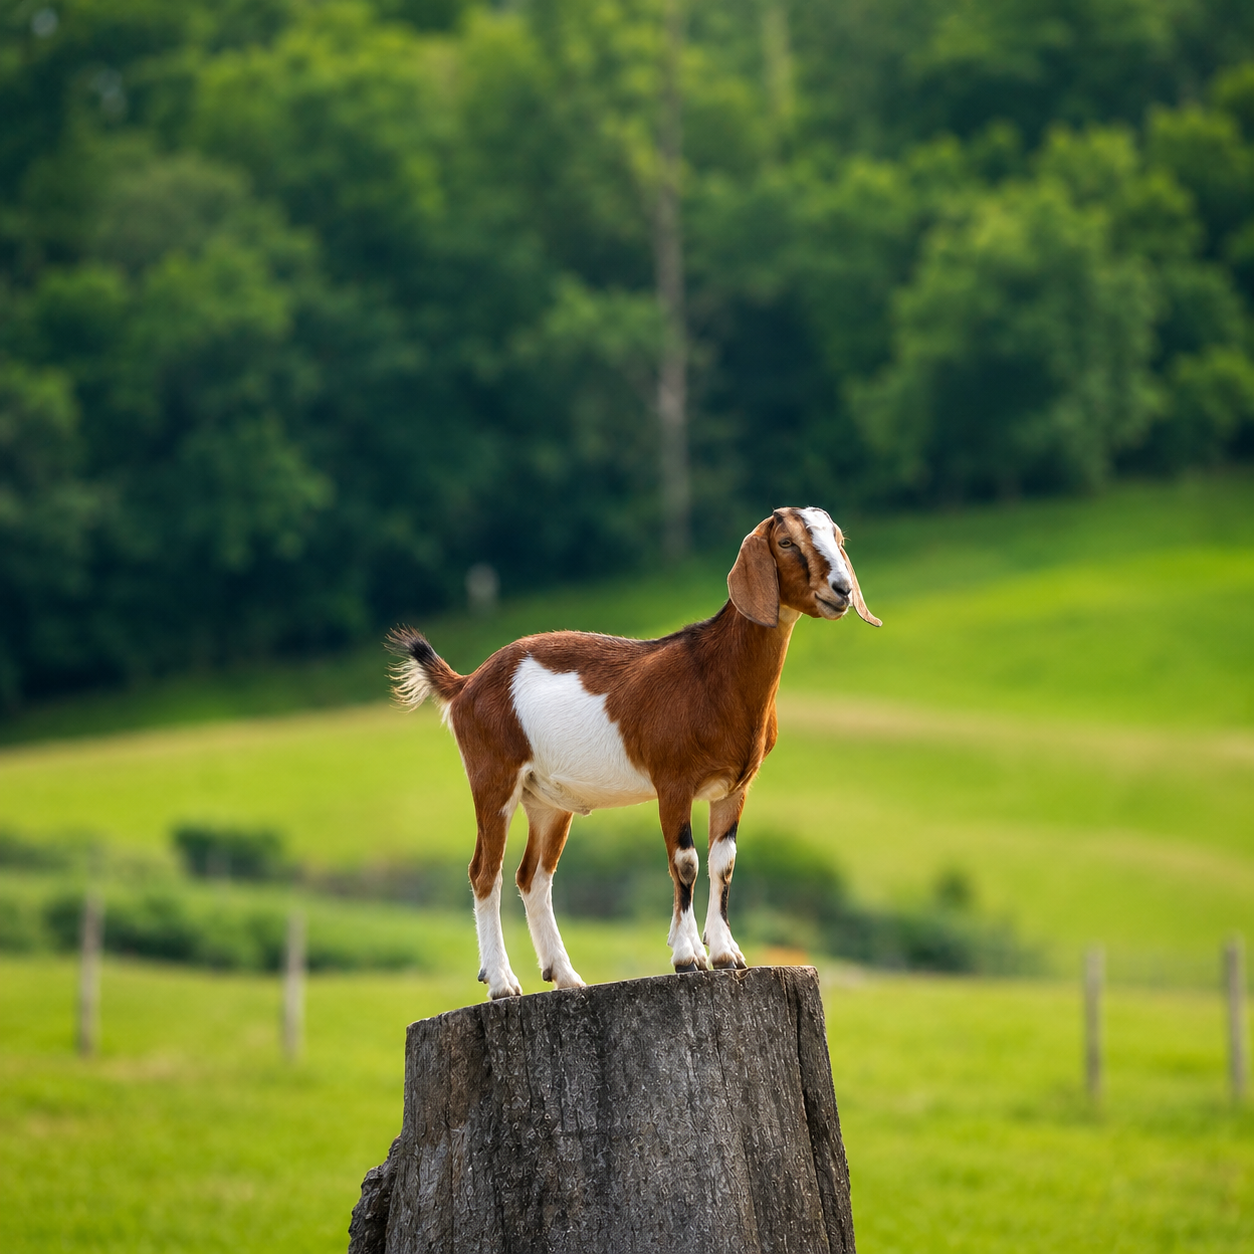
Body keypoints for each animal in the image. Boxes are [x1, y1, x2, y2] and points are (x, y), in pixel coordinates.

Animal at [388, 507, 880, 998]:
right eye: (786, 542)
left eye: (838, 539)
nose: (841, 589)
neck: (714, 674)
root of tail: (466, 683)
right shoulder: (673, 781)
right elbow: (686, 863)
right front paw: (687, 957)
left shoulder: (734, 787)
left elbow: (723, 864)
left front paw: (726, 955)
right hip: (493, 776)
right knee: (485, 872)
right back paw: (502, 982)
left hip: (548, 801)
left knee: (534, 877)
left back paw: (566, 977)